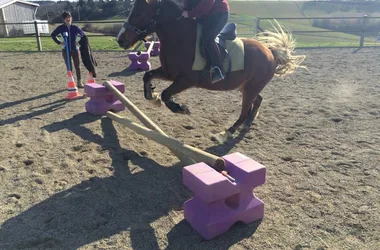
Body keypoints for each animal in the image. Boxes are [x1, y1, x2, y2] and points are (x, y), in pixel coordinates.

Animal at [116, 0, 306, 143]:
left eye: (139, 14)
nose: (120, 39)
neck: (179, 37)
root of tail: (270, 52)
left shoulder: (187, 80)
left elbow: (166, 94)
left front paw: (180, 108)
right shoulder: (169, 73)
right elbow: (147, 76)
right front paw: (151, 97)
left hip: (250, 88)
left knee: (244, 111)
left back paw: (225, 133)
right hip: (247, 87)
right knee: (258, 100)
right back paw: (248, 123)